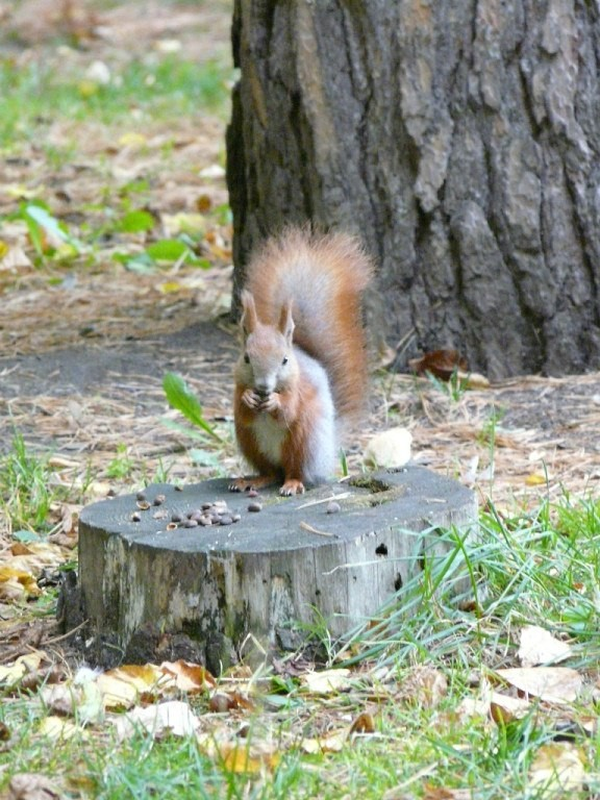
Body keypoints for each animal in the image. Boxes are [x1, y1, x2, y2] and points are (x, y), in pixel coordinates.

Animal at [229, 227, 374, 496]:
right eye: (246, 358)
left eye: (285, 360)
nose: (263, 387)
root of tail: (327, 450)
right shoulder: (236, 388)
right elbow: (242, 410)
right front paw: (249, 398)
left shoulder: (299, 390)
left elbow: (289, 409)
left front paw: (275, 402)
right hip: (250, 441)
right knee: (270, 472)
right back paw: (252, 480)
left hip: (303, 440)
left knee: (295, 471)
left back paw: (292, 484)